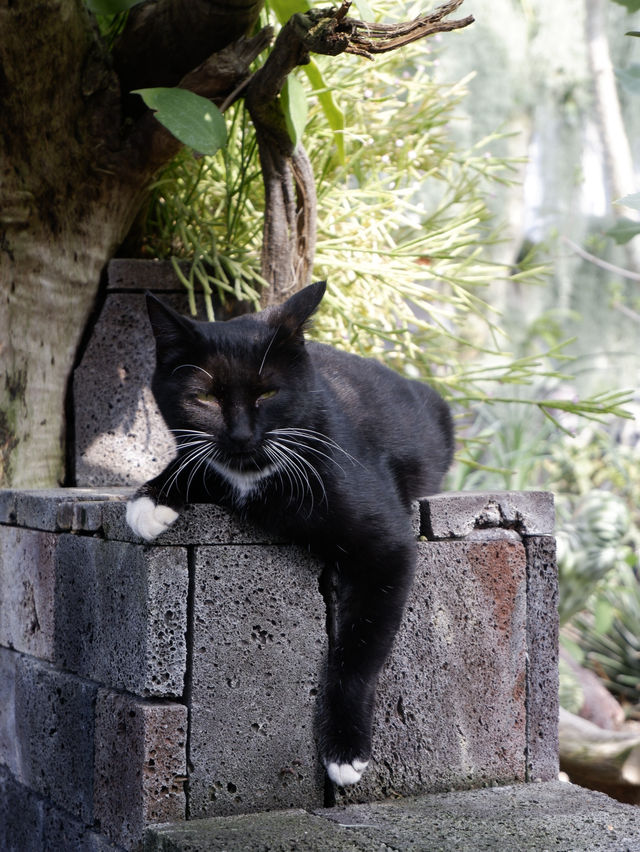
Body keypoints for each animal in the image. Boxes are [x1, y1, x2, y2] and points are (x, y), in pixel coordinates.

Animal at [126, 282, 456, 788]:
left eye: (268, 392)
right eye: (205, 397)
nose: (241, 436)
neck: (253, 476)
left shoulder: (388, 548)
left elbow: (361, 649)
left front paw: (345, 748)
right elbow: (194, 460)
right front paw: (153, 496)